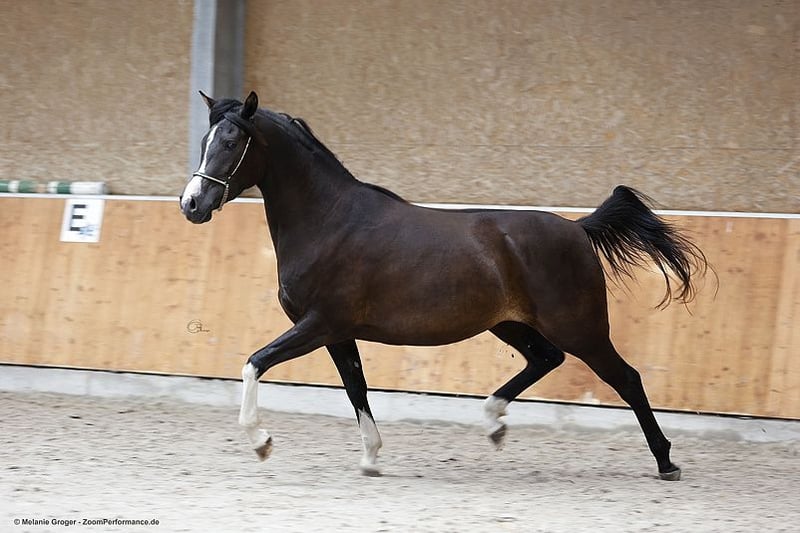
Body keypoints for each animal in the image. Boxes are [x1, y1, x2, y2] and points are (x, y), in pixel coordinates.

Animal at [179, 91, 708, 481]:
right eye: (206, 139)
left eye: (231, 143)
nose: (191, 205)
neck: (329, 220)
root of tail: (577, 229)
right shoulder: (338, 333)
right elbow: (356, 388)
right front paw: (371, 458)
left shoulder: (319, 324)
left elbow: (254, 363)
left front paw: (261, 442)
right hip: (509, 324)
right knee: (546, 359)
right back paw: (494, 425)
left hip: (580, 327)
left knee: (627, 378)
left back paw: (666, 462)